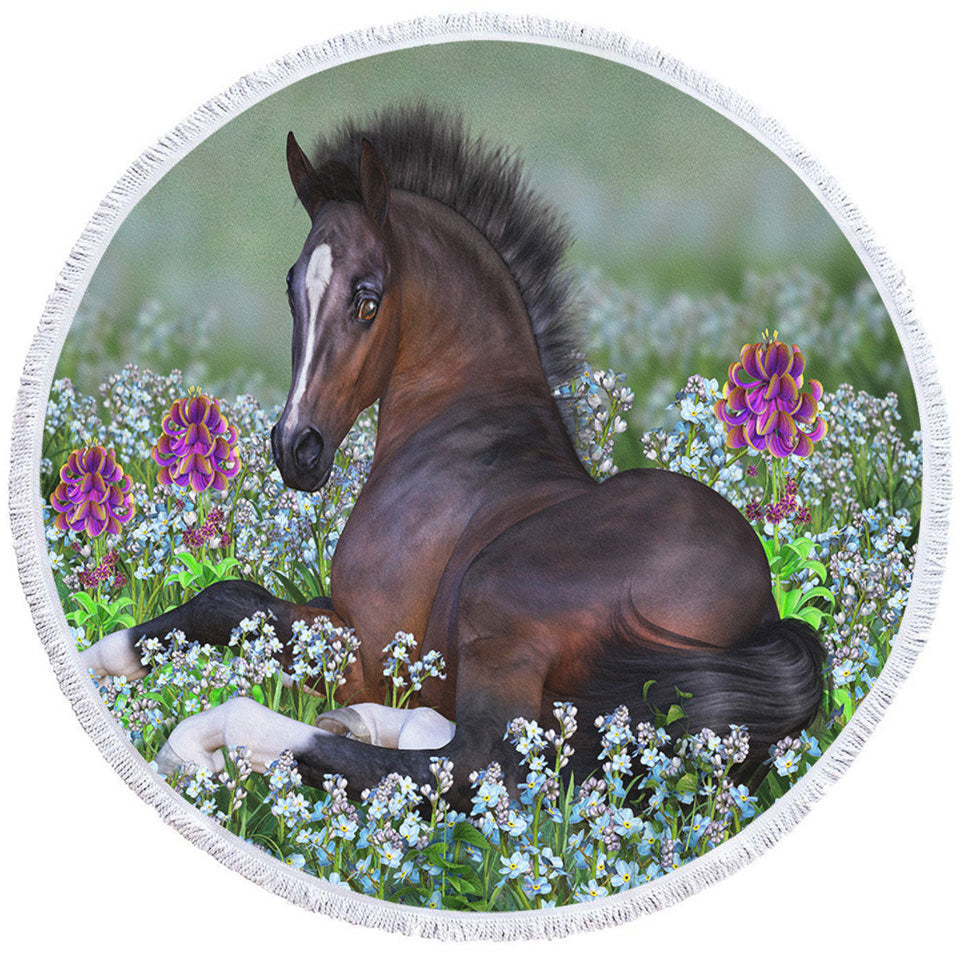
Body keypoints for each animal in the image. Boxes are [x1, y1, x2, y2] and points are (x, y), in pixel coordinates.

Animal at [79, 106, 824, 807]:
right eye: (292, 287)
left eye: (367, 299)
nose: (296, 448)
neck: (460, 433)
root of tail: (761, 609)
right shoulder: (338, 620)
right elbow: (229, 600)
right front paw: (97, 665)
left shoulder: (372, 649)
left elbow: (232, 604)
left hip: (501, 599)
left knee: (476, 766)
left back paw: (209, 737)